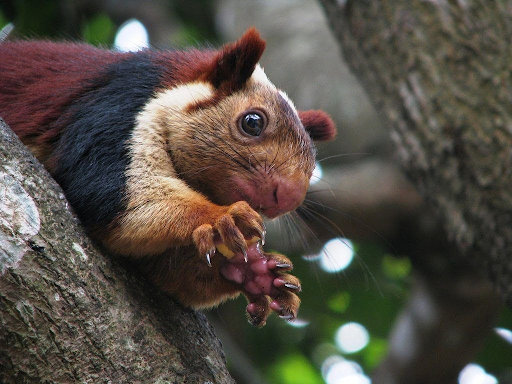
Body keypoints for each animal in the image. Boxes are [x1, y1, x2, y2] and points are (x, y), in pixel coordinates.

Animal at [1, 28, 336, 326]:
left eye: (313, 161)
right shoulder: (115, 112)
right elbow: (119, 198)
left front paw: (255, 273)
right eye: (252, 122)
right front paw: (220, 216)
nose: (290, 196)